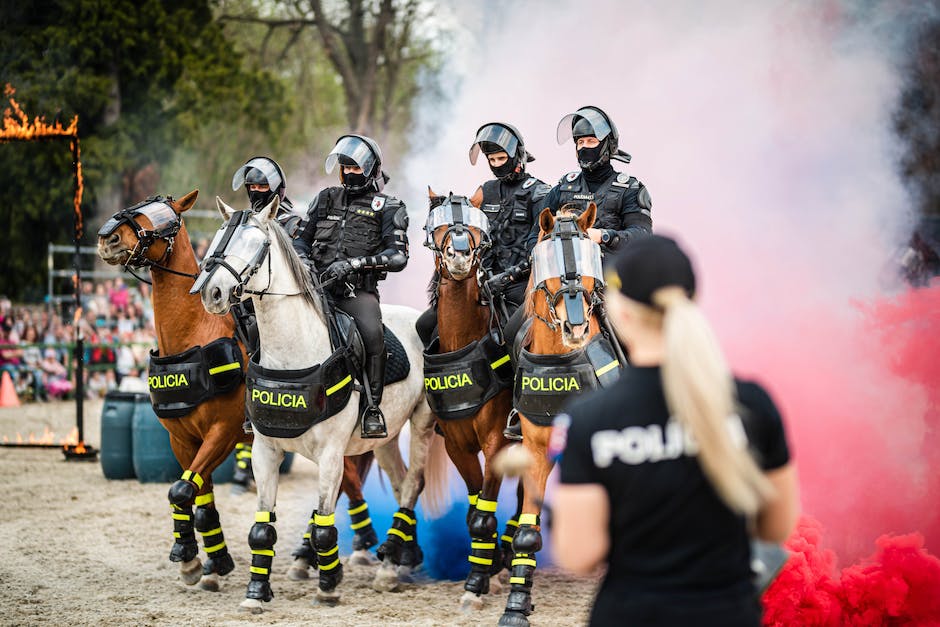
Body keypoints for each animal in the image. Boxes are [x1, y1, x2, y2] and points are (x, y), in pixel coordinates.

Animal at [97, 191, 384, 592]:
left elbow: (182, 491)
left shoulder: (223, 433)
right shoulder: (182, 439)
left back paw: (349, 547)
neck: (194, 336)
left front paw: (192, 560)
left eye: (162, 218)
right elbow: (197, 499)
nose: (108, 239)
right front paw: (209, 561)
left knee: (349, 483)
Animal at [193, 197, 446, 612]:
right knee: (399, 483)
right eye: (217, 238)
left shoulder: (330, 456)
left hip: (423, 424)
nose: (211, 293)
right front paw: (255, 593)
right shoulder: (265, 451)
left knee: (412, 486)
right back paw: (402, 559)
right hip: (387, 438)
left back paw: (388, 570)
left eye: (255, 243)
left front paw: (328, 587)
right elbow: (261, 528)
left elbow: (326, 527)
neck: (294, 354)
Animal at [496, 202, 620, 627]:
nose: (575, 326)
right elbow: (527, 531)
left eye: (588, 259)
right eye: (546, 261)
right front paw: (517, 605)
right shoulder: (535, 451)